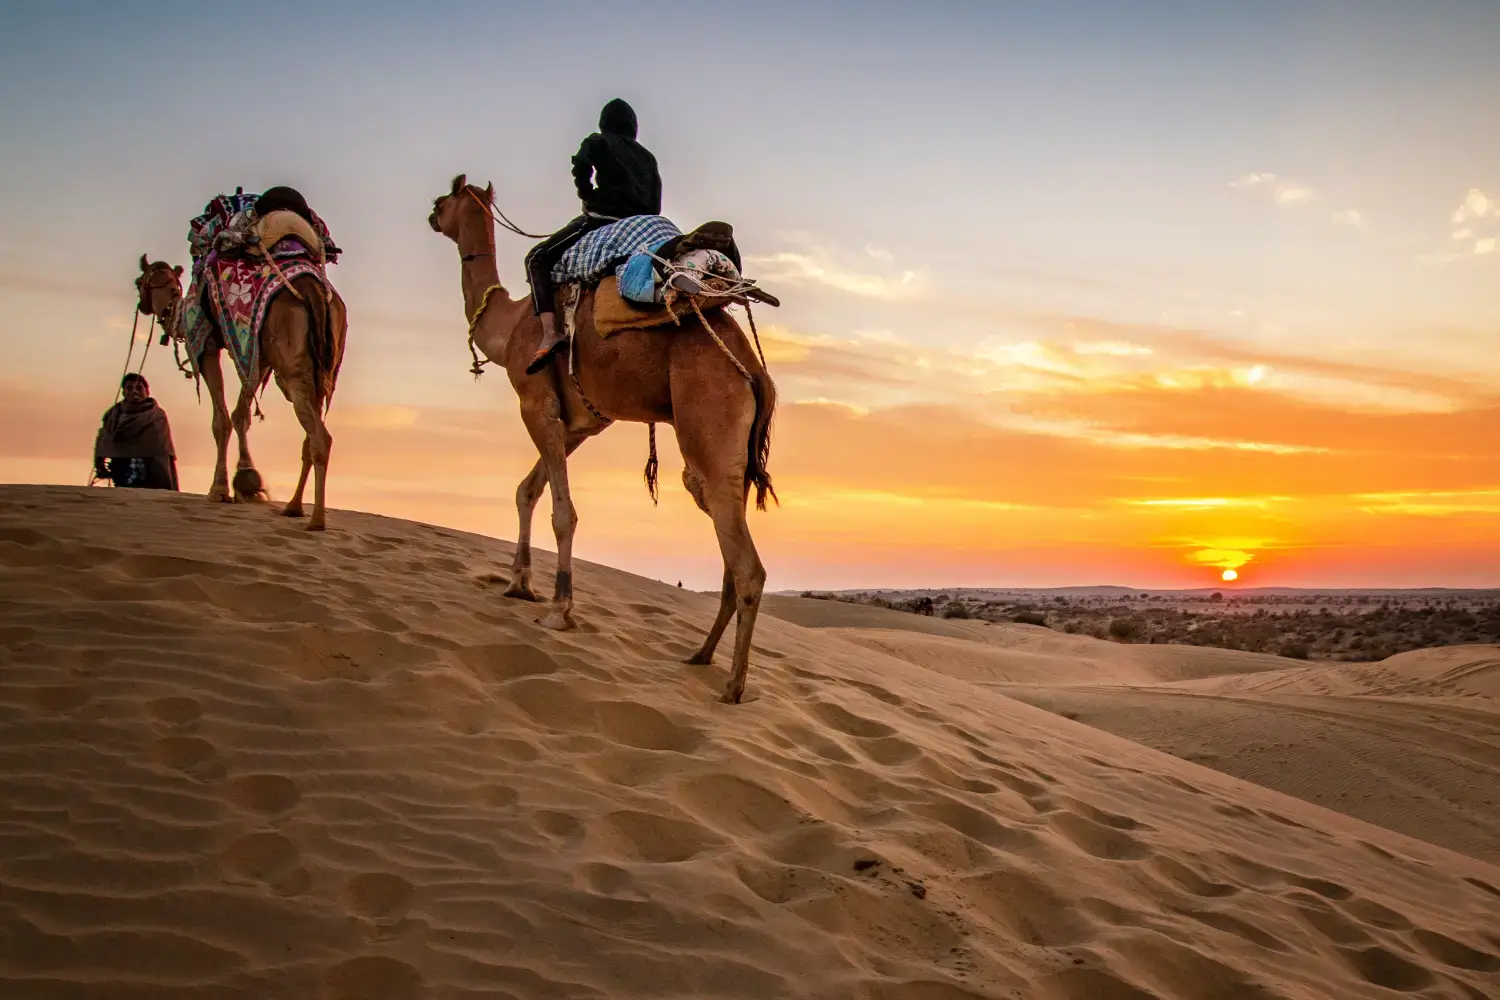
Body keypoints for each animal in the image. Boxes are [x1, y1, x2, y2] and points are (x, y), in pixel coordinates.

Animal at [137, 187, 348, 530]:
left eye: (138, 283)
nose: (144, 306)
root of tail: (315, 291)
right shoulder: (256, 355)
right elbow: (241, 414)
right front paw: (248, 482)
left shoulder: (206, 343)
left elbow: (221, 418)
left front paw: (221, 489)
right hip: (320, 366)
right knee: (310, 432)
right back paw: (293, 507)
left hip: (291, 368)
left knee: (320, 437)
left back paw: (316, 520)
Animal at [423, 173, 774, 704]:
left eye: (444, 200)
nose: (430, 215)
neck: (510, 327)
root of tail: (754, 369)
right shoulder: (580, 424)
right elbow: (528, 490)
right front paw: (519, 584)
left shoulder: (535, 404)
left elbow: (562, 512)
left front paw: (558, 609)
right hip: (723, 459)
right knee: (727, 543)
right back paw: (700, 655)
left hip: (709, 425)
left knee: (747, 565)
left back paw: (733, 686)